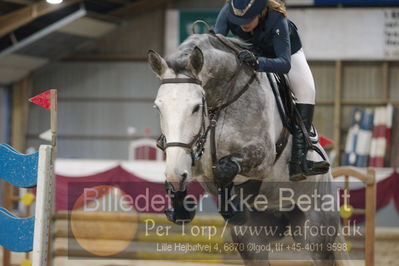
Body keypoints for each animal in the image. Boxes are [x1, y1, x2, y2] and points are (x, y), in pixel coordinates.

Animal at [148, 34, 346, 264]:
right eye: (158, 107)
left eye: (196, 107)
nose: (175, 175)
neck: (221, 100)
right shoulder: (190, 159)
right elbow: (182, 173)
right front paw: (180, 207)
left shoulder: (262, 157)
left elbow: (224, 169)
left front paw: (233, 211)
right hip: (252, 242)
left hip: (317, 234)